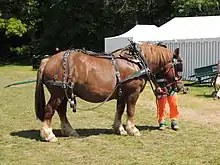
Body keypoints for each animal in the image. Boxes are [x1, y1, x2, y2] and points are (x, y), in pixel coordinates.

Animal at [34, 42, 182, 142]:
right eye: (179, 65)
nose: (180, 86)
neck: (136, 62)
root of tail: (48, 60)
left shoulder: (122, 94)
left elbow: (120, 110)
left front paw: (119, 129)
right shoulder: (133, 93)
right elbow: (131, 111)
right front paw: (132, 129)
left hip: (64, 94)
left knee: (61, 111)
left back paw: (69, 131)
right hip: (58, 93)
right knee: (50, 110)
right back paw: (49, 135)